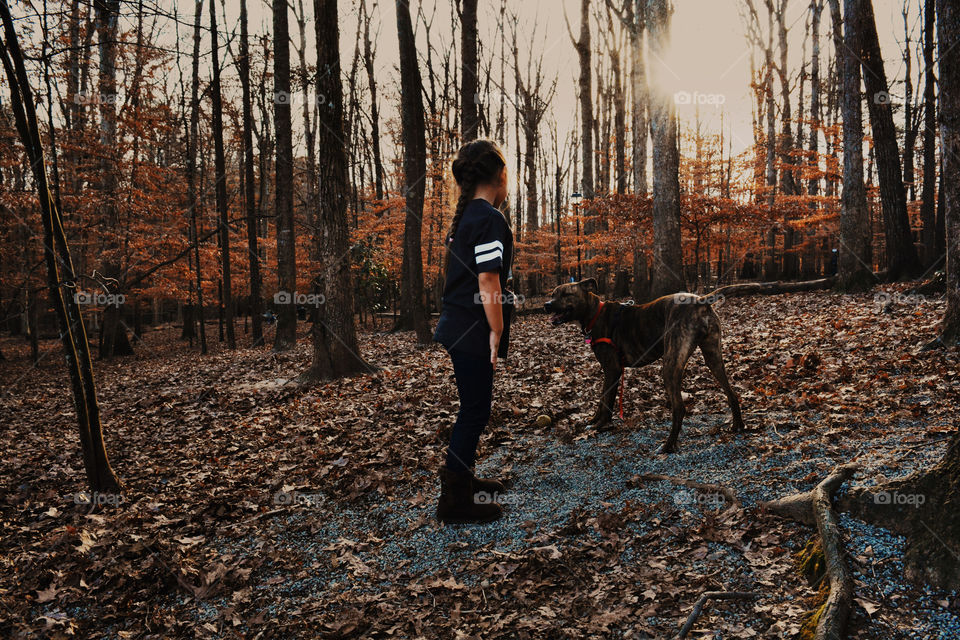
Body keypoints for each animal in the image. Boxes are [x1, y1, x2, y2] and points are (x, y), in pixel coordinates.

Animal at [548, 278, 744, 452]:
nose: (546, 305)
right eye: (553, 294)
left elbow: (606, 400)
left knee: (679, 409)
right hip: (713, 357)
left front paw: (600, 425)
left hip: (670, 364)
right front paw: (594, 420)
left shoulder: (612, 370)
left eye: (566, 294)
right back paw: (738, 426)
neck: (595, 313)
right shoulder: (610, 372)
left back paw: (667, 446)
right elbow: (602, 397)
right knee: (732, 394)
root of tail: (699, 301)